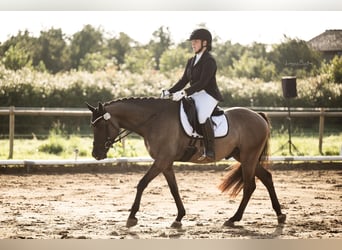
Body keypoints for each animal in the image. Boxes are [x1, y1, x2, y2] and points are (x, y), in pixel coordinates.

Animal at [86, 97, 286, 229]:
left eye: (99, 126)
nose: (96, 154)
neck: (153, 120)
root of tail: (258, 115)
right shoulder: (165, 163)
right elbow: (174, 189)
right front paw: (179, 217)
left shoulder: (161, 161)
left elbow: (142, 183)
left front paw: (132, 216)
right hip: (244, 157)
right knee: (266, 178)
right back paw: (279, 214)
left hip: (248, 157)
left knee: (250, 186)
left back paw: (234, 218)